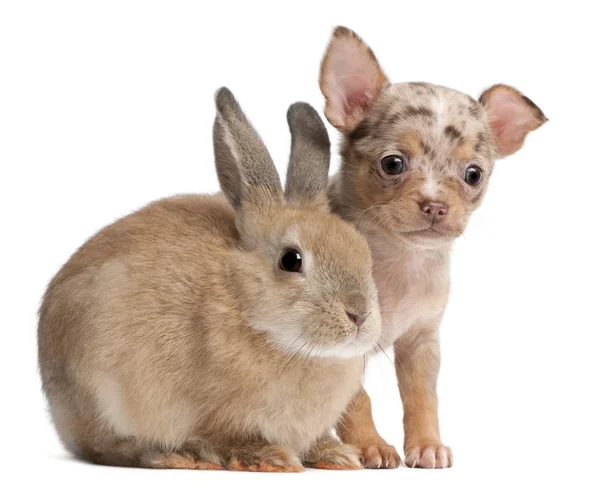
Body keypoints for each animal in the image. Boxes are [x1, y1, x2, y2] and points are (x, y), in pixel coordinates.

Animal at [37, 87, 382, 470]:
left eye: (361, 248)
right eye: (291, 260)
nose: (359, 314)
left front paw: (335, 454)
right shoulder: (217, 417)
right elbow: (231, 439)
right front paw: (272, 459)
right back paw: (179, 455)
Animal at [322, 25, 548, 468]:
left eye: (473, 174)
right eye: (392, 163)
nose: (435, 205)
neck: (399, 260)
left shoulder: (422, 342)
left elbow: (422, 398)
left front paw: (426, 444)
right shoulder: (338, 346)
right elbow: (356, 399)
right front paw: (370, 445)